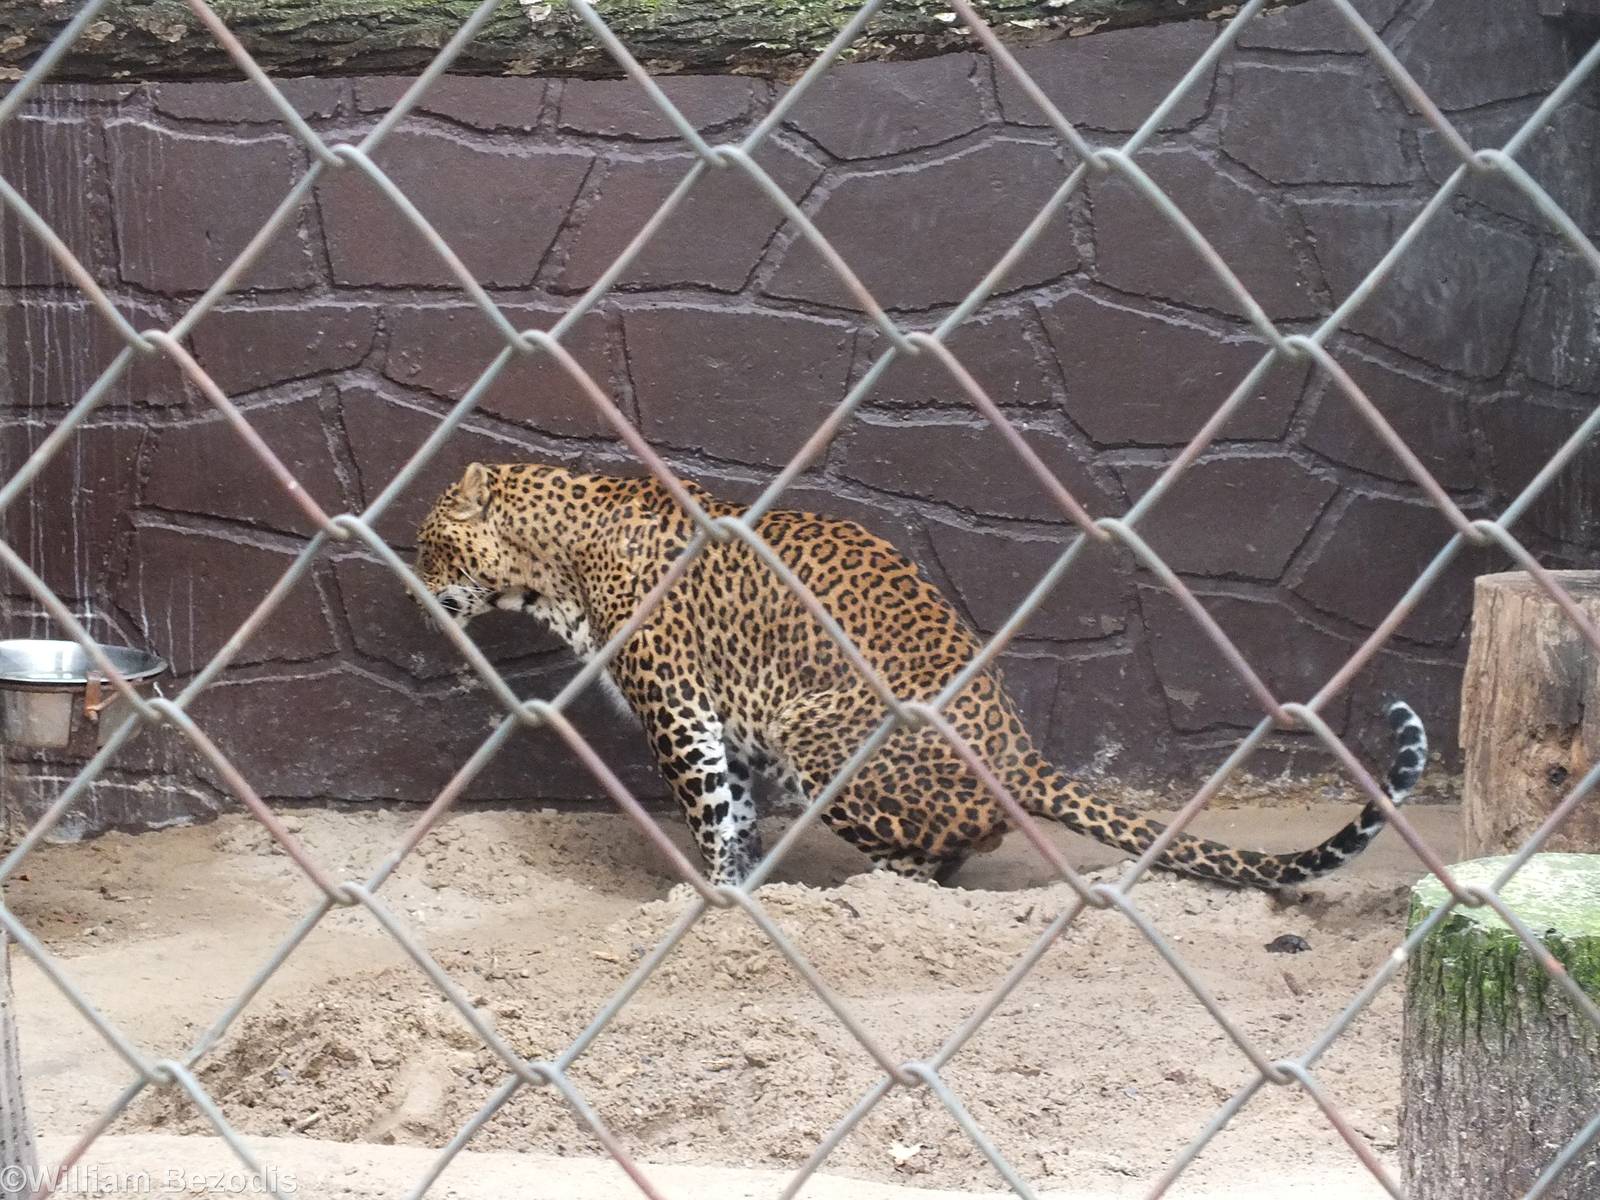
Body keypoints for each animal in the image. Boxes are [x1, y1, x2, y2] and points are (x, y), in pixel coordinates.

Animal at [412, 461, 1428, 891]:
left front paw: (714, 893)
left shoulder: (681, 713)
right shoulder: (721, 729)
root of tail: (1023, 758)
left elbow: (710, 815)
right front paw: (742, 884)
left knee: (931, 864)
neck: (557, 556)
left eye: (428, 544)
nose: (415, 587)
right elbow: (737, 814)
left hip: (822, 732)